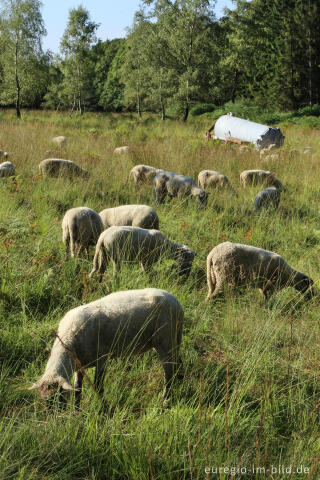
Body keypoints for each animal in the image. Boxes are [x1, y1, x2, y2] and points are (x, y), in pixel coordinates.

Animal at [30, 288, 185, 404]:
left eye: (58, 397)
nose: (56, 417)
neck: (68, 341)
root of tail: (177, 303)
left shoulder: (102, 358)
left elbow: (98, 386)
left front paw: (103, 408)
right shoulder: (80, 365)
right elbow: (78, 388)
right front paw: (77, 411)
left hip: (165, 339)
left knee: (169, 372)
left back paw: (165, 399)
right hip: (174, 339)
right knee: (179, 364)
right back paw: (180, 386)